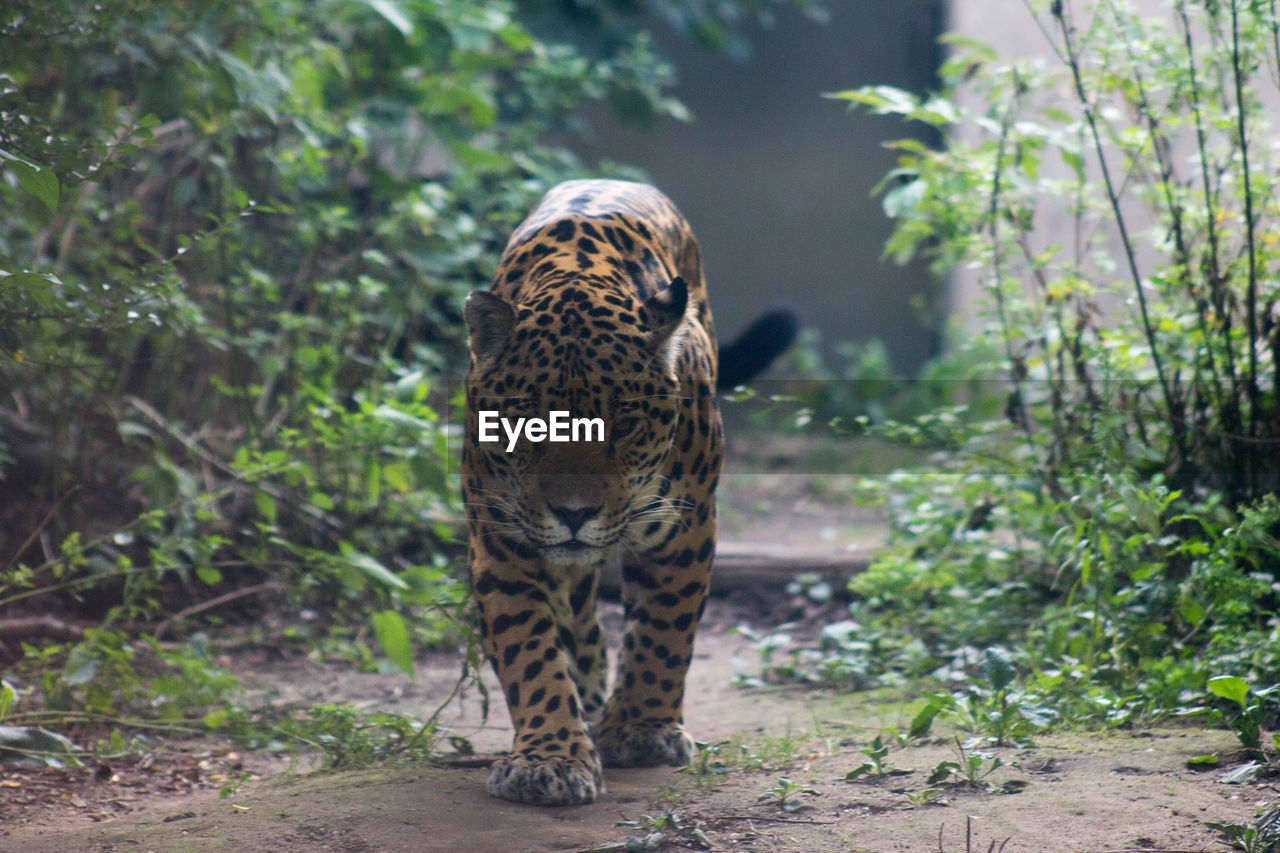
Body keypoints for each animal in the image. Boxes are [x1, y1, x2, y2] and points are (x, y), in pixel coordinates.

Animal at [460, 179, 798, 804]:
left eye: (625, 423)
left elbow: (665, 631)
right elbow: (529, 648)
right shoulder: (500, 538)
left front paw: (641, 731)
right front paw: (550, 758)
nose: (573, 513)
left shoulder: (687, 524)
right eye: (525, 419)